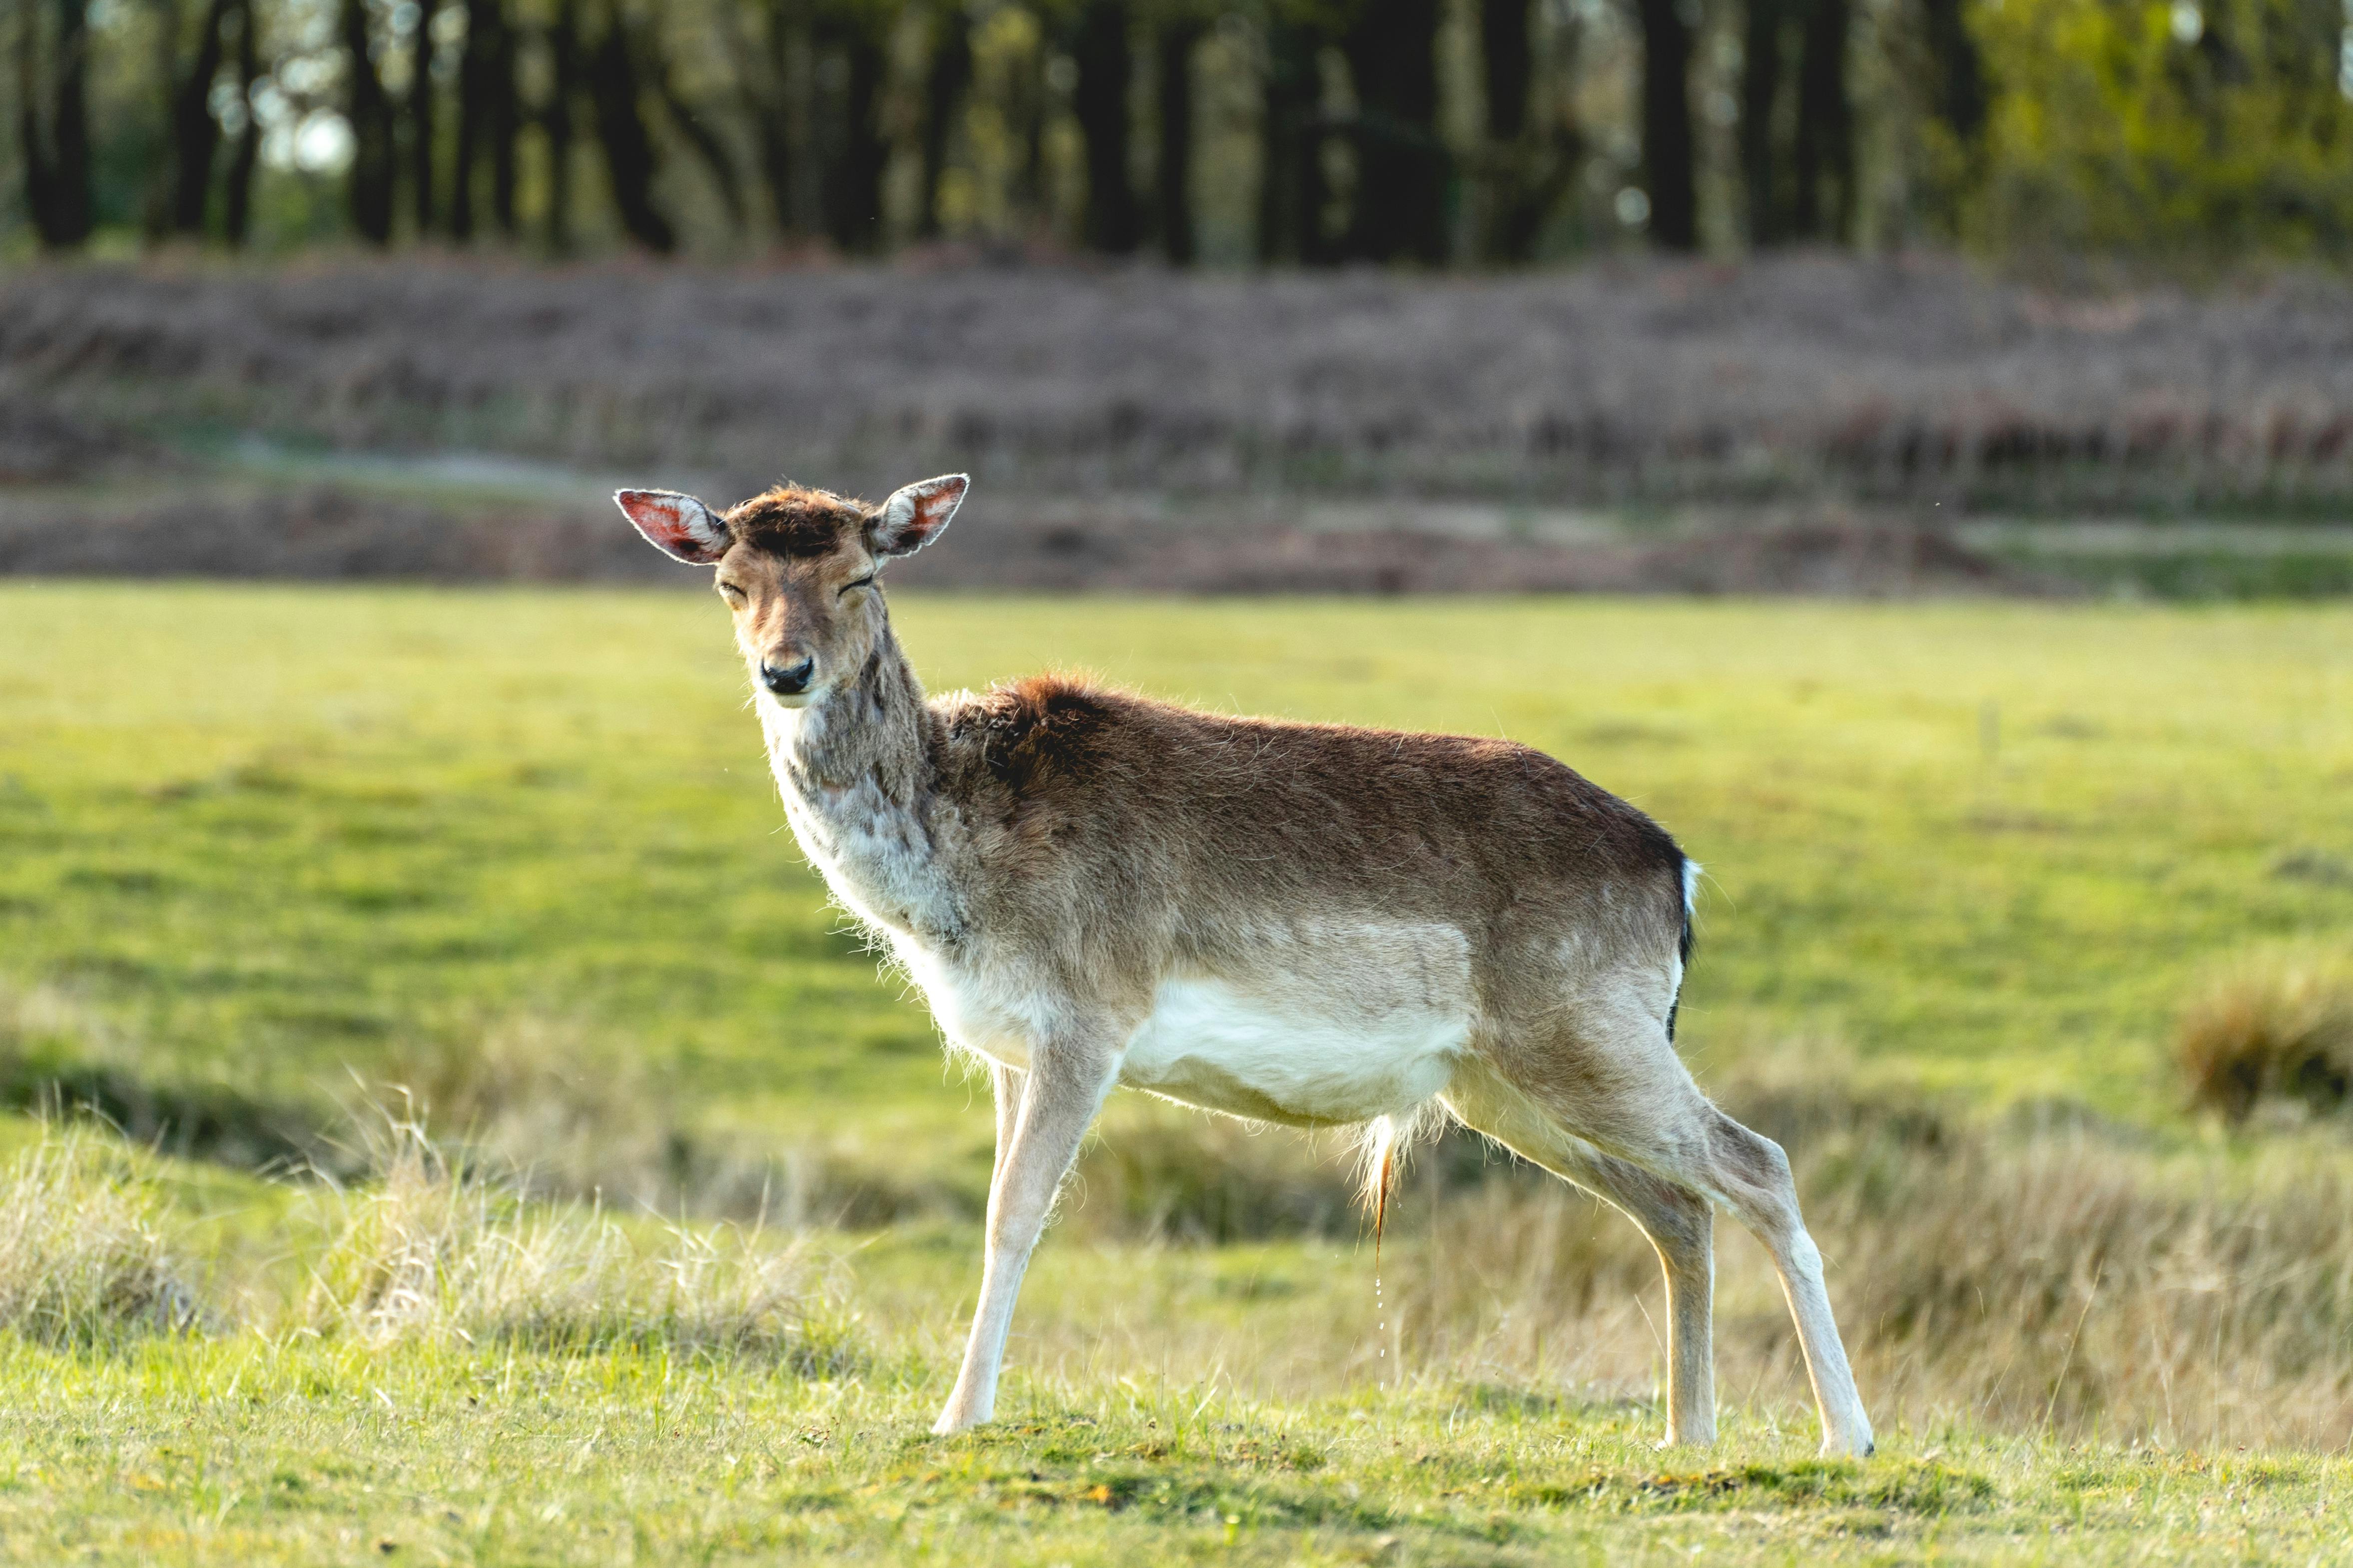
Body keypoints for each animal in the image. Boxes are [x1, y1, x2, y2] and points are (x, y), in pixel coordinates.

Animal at [621, 476, 1873, 1450]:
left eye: (859, 576)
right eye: (731, 584)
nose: (786, 672)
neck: (956, 877)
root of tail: (1677, 870)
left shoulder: (1092, 1017)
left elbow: (1014, 1215)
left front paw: (958, 1417)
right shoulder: (1007, 1047)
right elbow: (996, 1209)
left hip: (1590, 1030)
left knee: (1757, 1163)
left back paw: (1845, 1435)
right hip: (1505, 1082)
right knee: (1679, 1208)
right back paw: (1686, 1435)